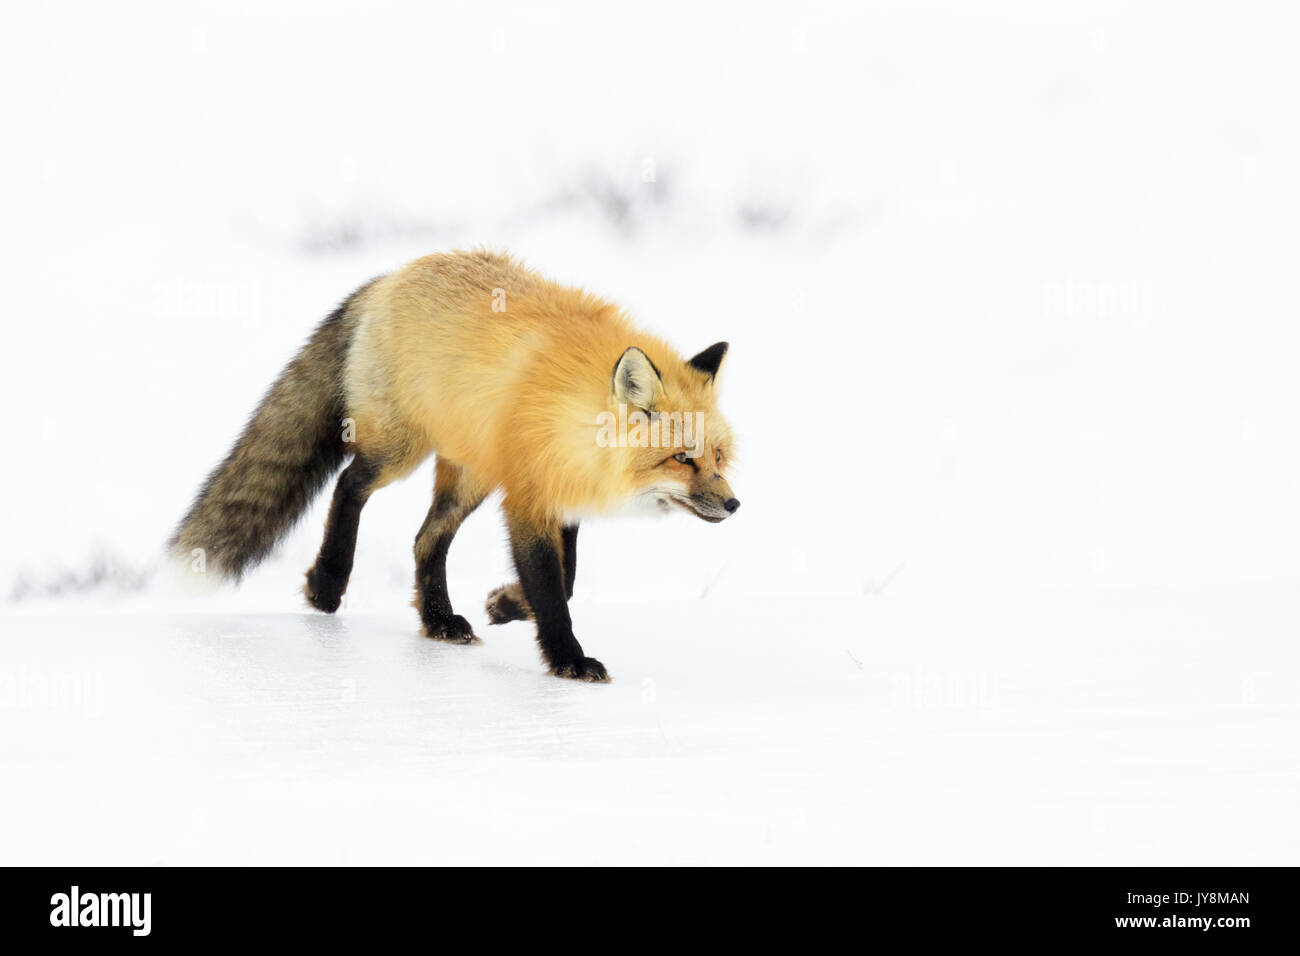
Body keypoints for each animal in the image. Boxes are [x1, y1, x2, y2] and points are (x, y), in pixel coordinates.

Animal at [170, 249, 738, 681]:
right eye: (681, 459)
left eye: (716, 456)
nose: (734, 504)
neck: (571, 413)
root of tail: (391, 275)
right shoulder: (526, 500)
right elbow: (552, 589)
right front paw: (568, 661)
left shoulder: (559, 493)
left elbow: (567, 578)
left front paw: (506, 606)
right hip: (399, 451)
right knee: (349, 486)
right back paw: (328, 583)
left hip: (472, 475)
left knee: (426, 540)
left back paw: (439, 621)